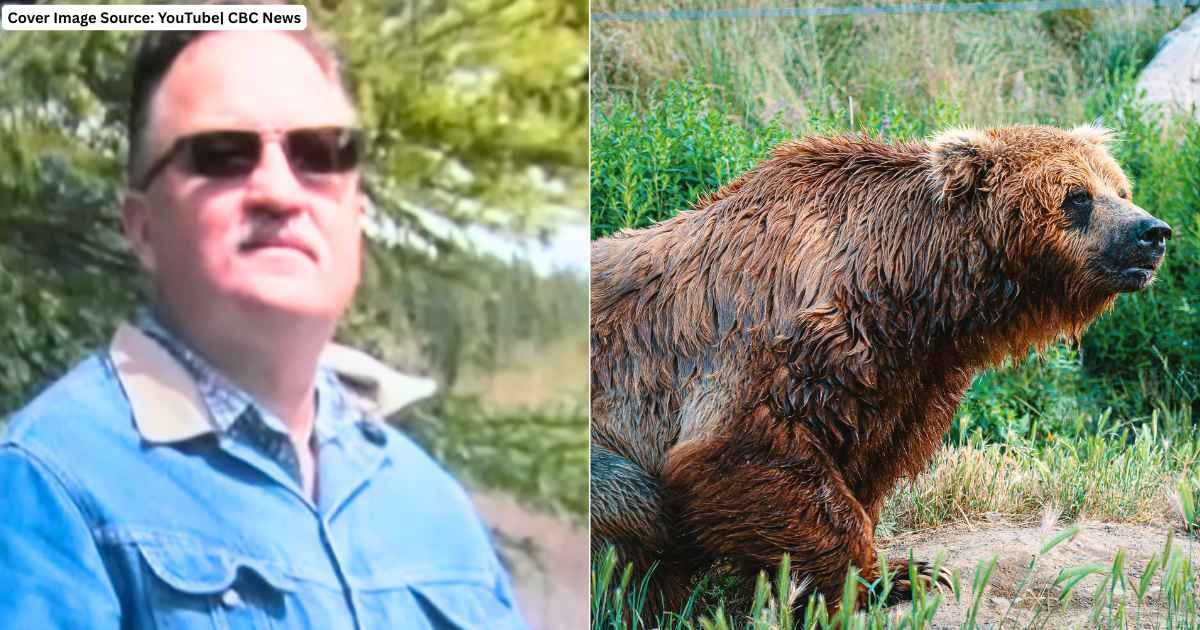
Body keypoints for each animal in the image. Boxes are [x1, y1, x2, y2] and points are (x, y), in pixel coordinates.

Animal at [590, 125, 1171, 616]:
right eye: (1077, 195)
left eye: (1120, 187)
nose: (1153, 232)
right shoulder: (774, 342)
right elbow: (746, 451)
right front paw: (891, 578)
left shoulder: (907, 379)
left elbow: (865, 467)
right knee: (635, 501)